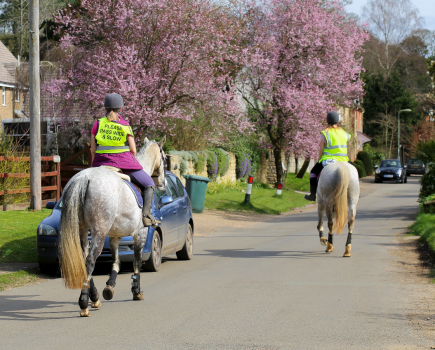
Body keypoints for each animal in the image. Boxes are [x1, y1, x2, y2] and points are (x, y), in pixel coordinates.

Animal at [58, 137, 166, 318]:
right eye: (165, 158)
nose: (163, 183)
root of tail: (84, 177)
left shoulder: (114, 237)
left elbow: (116, 261)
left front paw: (110, 286)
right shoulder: (140, 235)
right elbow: (136, 262)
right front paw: (136, 291)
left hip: (83, 230)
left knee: (85, 258)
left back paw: (94, 298)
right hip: (99, 232)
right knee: (90, 260)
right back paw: (84, 303)